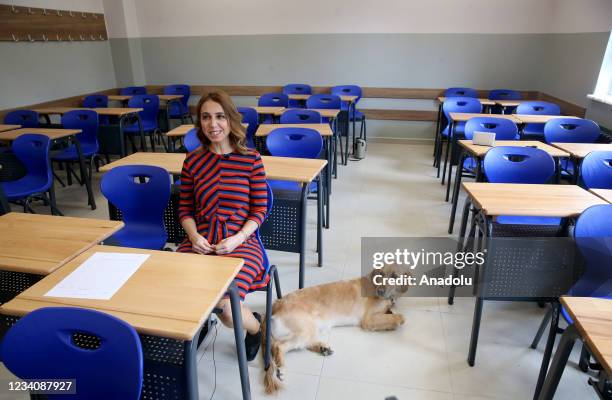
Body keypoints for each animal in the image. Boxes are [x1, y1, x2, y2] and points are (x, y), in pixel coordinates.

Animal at [260, 264, 408, 392]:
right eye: (381, 274)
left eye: (395, 276)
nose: (380, 291)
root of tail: (274, 305)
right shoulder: (368, 320)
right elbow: (399, 317)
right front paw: (397, 320)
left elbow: (391, 311)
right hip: (304, 328)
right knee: (279, 346)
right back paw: (282, 369)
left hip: (310, 327)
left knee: (301, 343)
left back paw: (322, 348)